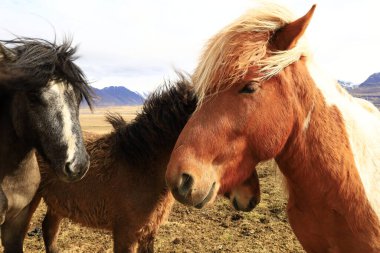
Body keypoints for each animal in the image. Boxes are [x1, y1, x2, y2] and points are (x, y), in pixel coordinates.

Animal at [20, 77, 262, 253]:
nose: (252, 199)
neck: (141, 164)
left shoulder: (148, 233)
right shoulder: (125, 235)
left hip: (57, 203)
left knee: (49, 231)